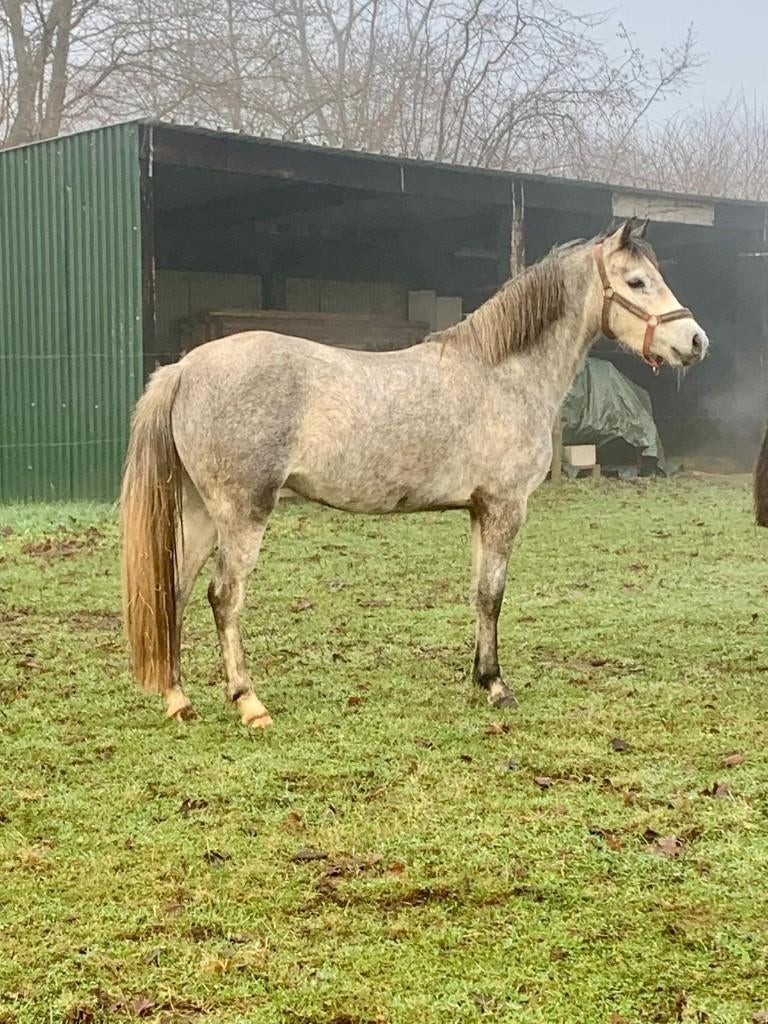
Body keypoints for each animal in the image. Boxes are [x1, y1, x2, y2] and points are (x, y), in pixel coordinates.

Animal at [120, 219, 708, 727]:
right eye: (636, 281)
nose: (696, 341)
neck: (504, 373)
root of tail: (185, 368)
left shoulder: (479, 510)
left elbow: (478, 593)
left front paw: (479, 676)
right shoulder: (505, 507)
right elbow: (493, 594)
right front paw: (497, 686)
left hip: (201, 510)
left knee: (174, 591)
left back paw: (178, 699)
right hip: (242, 513)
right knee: (224, 597)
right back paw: (248, 702)